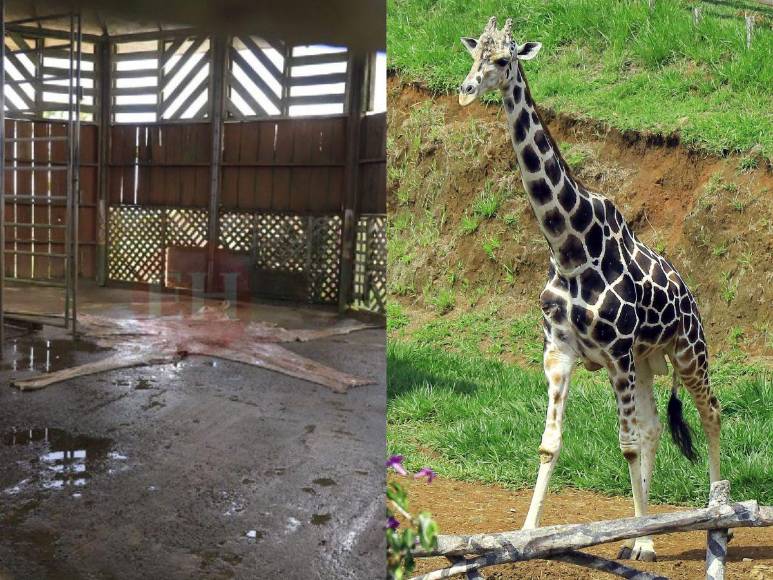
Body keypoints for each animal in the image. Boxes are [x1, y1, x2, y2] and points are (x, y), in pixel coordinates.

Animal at [458, 17, 722, 562]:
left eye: (504, 59)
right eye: (475, 54)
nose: (466, 91)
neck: (571, 247)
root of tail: (690, 293)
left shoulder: (616, 352)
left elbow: (625, 444)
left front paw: (645, 544)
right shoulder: (560, 352)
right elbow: (551, 444)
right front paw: (525, 537)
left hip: (687, 351)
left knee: (710, 414)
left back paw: (714, 508)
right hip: (646, 360)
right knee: (654, 427)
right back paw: (641, 530)